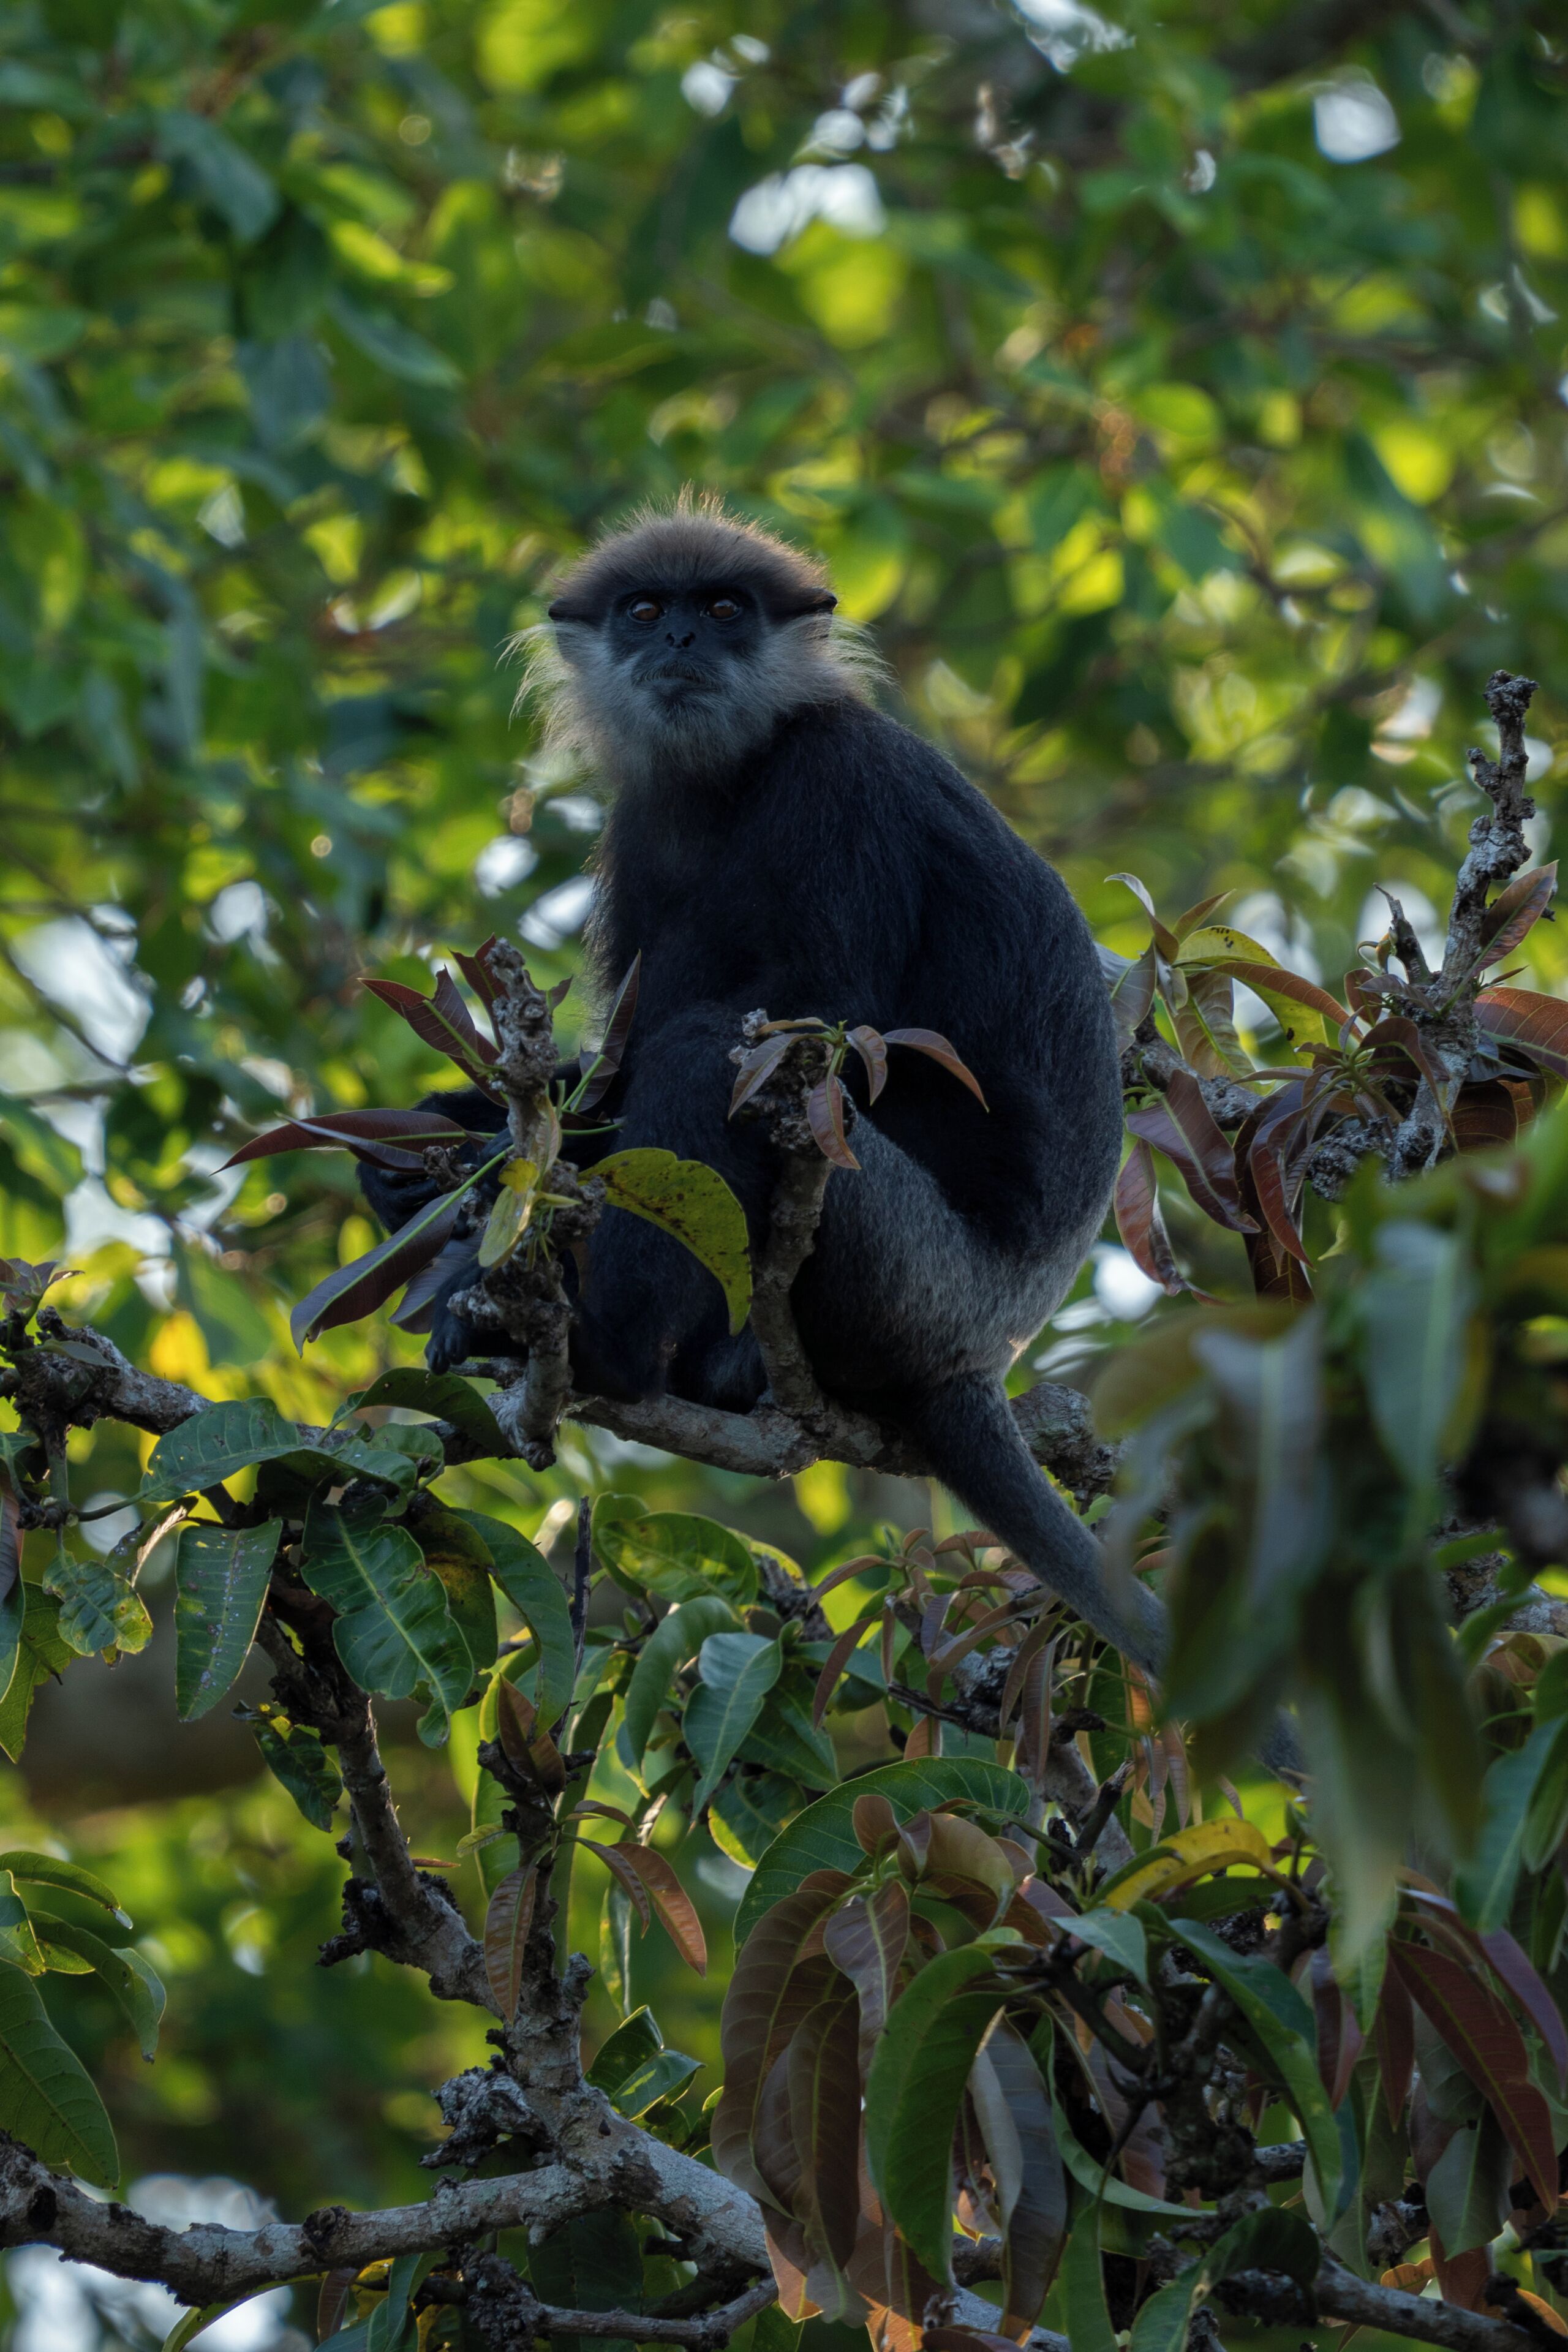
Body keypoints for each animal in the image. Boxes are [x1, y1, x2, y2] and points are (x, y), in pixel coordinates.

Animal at [361, 494, 1167, 1674]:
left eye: (725, 607)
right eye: (647, 610)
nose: (684, 640)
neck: (732, 779)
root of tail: (979, 1351)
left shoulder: (840, 786)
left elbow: (811, 1025)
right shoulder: (642, 827)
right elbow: (608, 1062)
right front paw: (441, 1146)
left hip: (902, 1270)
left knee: (716, 1057)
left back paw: (602, 1349)